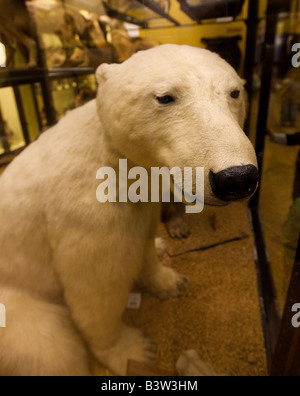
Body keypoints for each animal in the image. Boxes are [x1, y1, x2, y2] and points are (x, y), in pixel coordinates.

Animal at [0, 44, 258, 376]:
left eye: (235, 92)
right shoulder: (85, 212)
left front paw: (169, 281)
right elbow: (96, 286)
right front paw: (133, 350)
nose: (236, 177)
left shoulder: (143, 196)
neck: (114, 158)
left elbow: (143, 240)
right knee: (52, 349)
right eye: (165, 97)